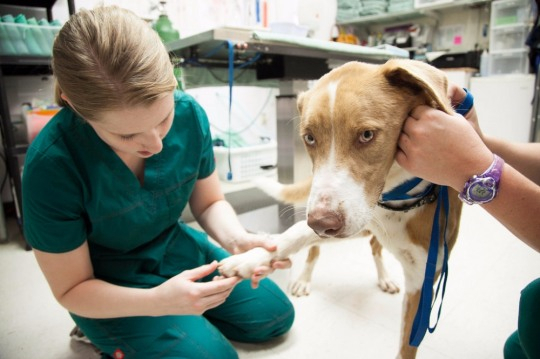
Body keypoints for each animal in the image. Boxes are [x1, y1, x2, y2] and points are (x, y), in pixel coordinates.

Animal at [217, 59, 462, 359]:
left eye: (367, 135)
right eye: (309, 138)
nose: (322, 224)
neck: (396, 200)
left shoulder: (423, 279)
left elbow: (407, 347)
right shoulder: (352, 219)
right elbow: (294, 233)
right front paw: (252, 257)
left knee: (374, 247)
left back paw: (384, 277)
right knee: (319, 248)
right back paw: (304, 279)